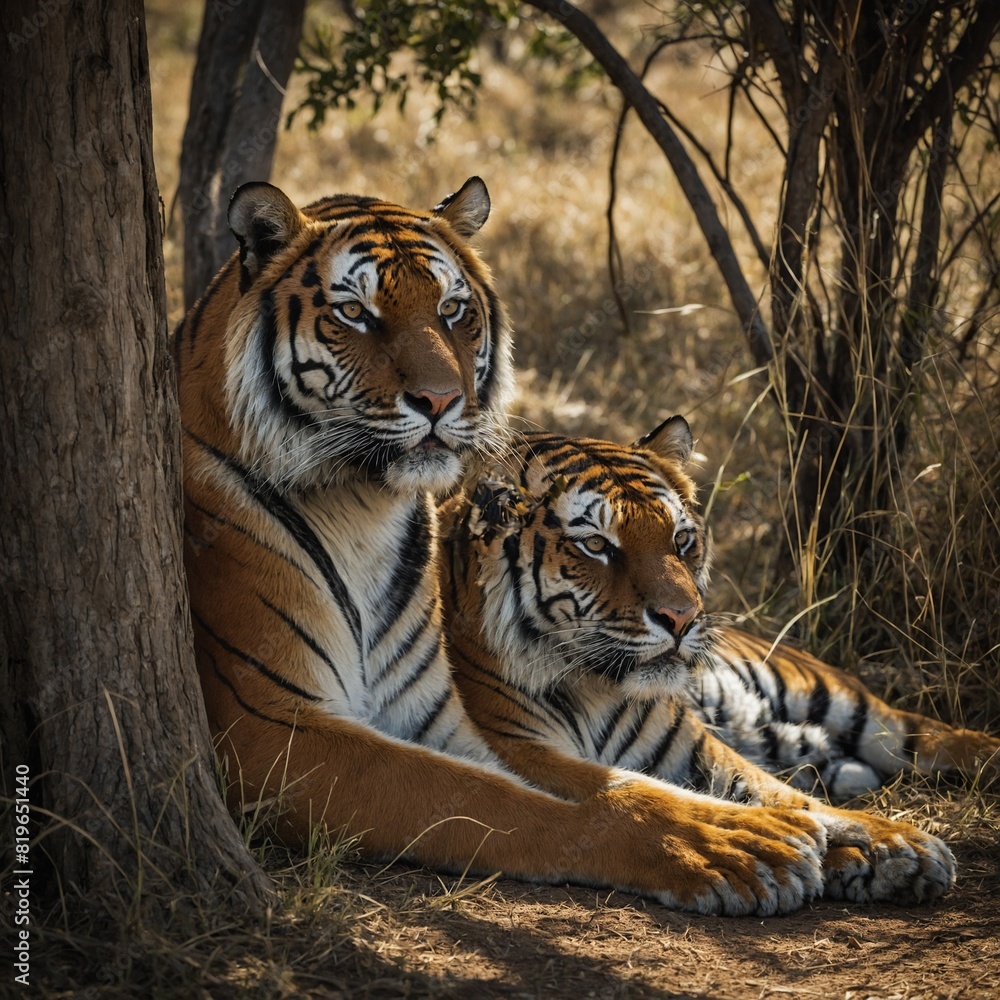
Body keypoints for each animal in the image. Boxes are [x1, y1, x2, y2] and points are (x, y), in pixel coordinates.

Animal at [174, 179, 852, 918]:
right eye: (355, 312)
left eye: (452, 311)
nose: (440, 400)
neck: (363, 506)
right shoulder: (270, 730)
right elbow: (508, 805)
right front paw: (730, 846)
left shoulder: (438, 720)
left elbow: (615, 778)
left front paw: (800, 824)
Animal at [440, 417, 997, 904]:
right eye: (596, 545)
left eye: (681, 540)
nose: (681, 618)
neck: (596, 687)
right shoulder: (519, 747)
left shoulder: (701, 756)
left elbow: (786, 799)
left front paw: (896, 845)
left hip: (837, 698)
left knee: (931, 735)